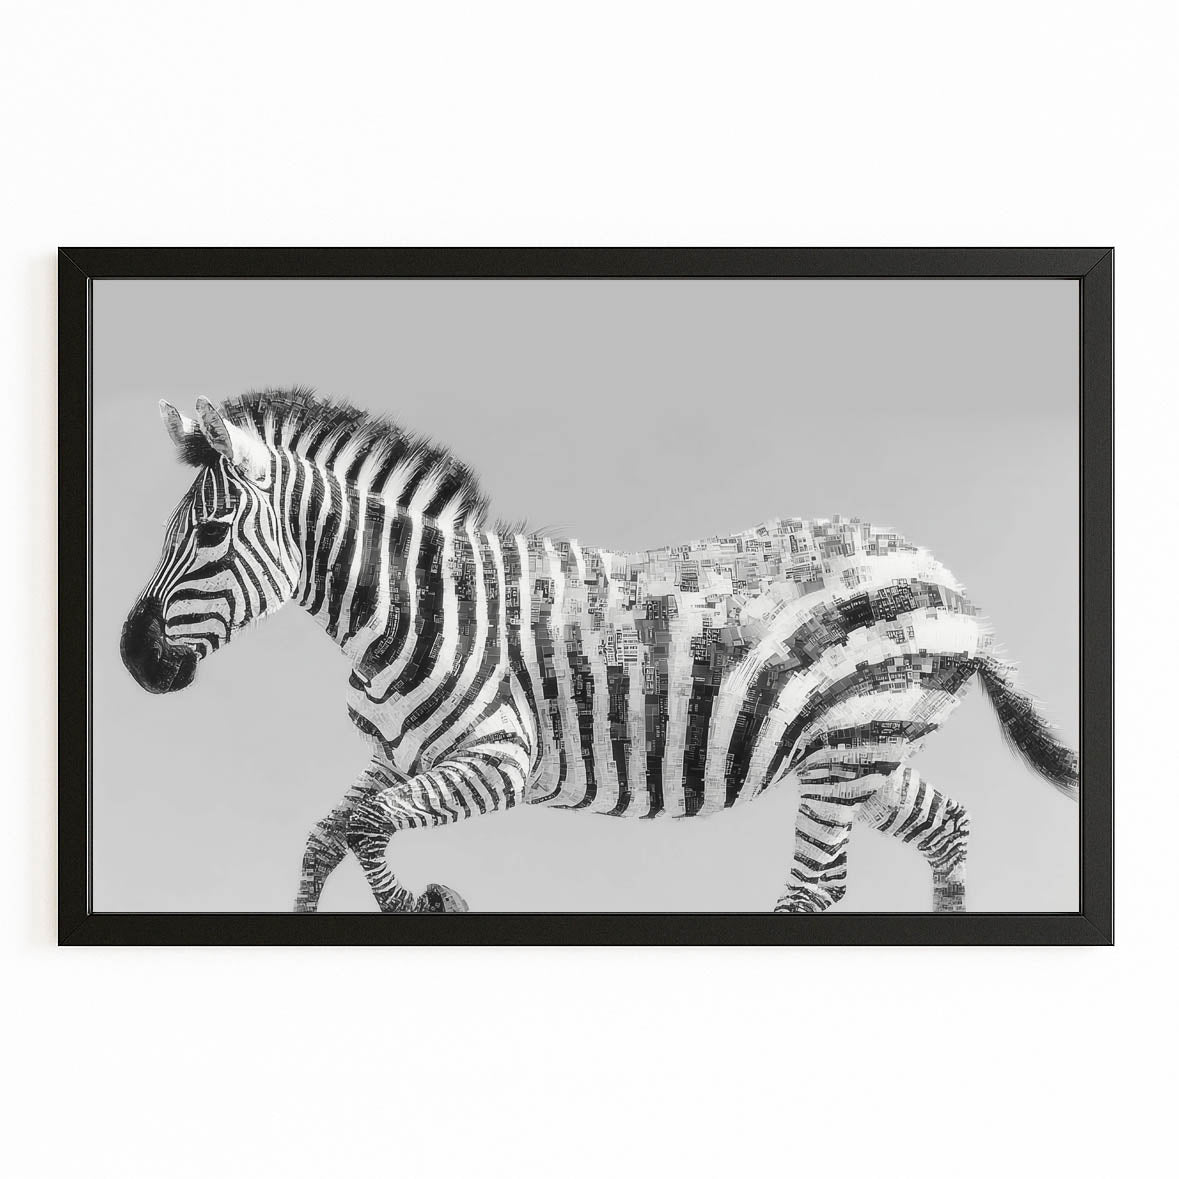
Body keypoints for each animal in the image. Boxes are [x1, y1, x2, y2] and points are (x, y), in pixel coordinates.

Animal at [120, 388, 1078, 915]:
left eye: (208, 533)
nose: (133, 659)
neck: (410, 607)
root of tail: (951, 583)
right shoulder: (396, 753)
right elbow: (326, 836)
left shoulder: (500, 757)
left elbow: (363, 827)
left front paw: (431, 902)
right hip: (860, 753)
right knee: (946, 827)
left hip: (849, 751)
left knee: (814, 889)